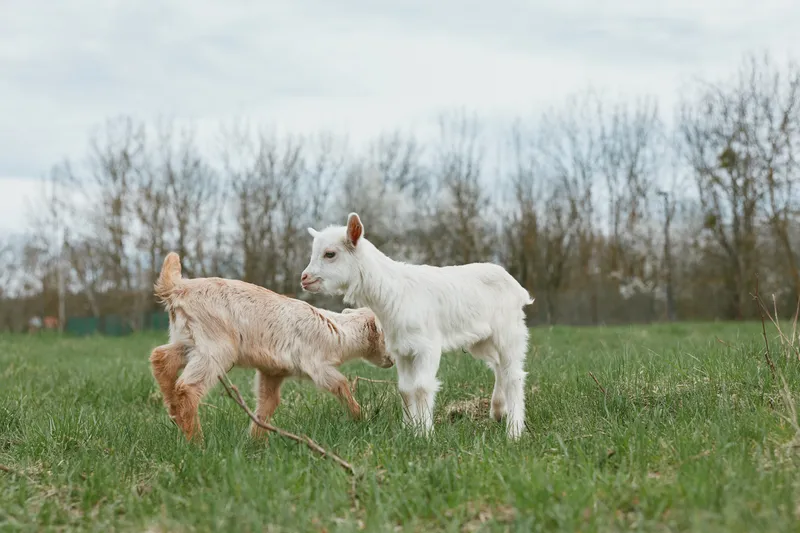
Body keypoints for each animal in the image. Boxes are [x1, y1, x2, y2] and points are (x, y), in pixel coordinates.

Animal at [149, 252, 394, 441]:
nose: (392, 361)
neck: (336, 331)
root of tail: (178, 288)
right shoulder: (316, 365)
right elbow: (340, 384)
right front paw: (360, 417)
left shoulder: (273, 371)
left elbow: (268, 402)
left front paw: (255, 440)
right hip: (216, 346)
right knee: (187, 387)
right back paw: (196, 440)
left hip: (188, 340)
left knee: (160, 357)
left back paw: (173, 411)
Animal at [300, 213, 533, 439]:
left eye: (330, 254)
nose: (304, 278)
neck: (393, 292)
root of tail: (517, 288)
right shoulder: (401, 349)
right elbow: (405, 389)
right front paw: (409, 430)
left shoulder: (427, 346)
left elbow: (421, 387)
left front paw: (425, 434)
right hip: (481, 339)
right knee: (498, 366)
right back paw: (498, 410)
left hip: (509, 331)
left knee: (513, 374)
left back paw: (514, 431)